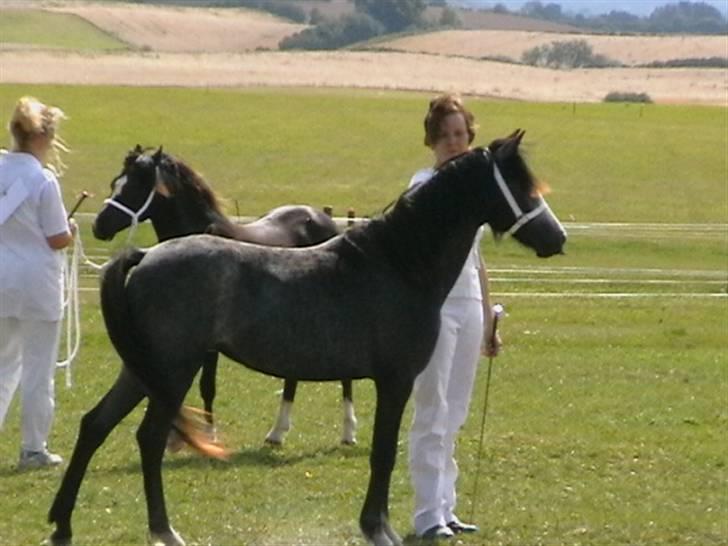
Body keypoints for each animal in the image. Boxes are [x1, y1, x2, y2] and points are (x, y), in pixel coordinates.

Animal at [91, 147, 358, 444]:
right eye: (115, 183)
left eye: (137, 185)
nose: (99, 226)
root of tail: (327, 221)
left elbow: (207, 385)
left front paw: (209, 435)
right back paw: (277, 432)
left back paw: (347, 432)